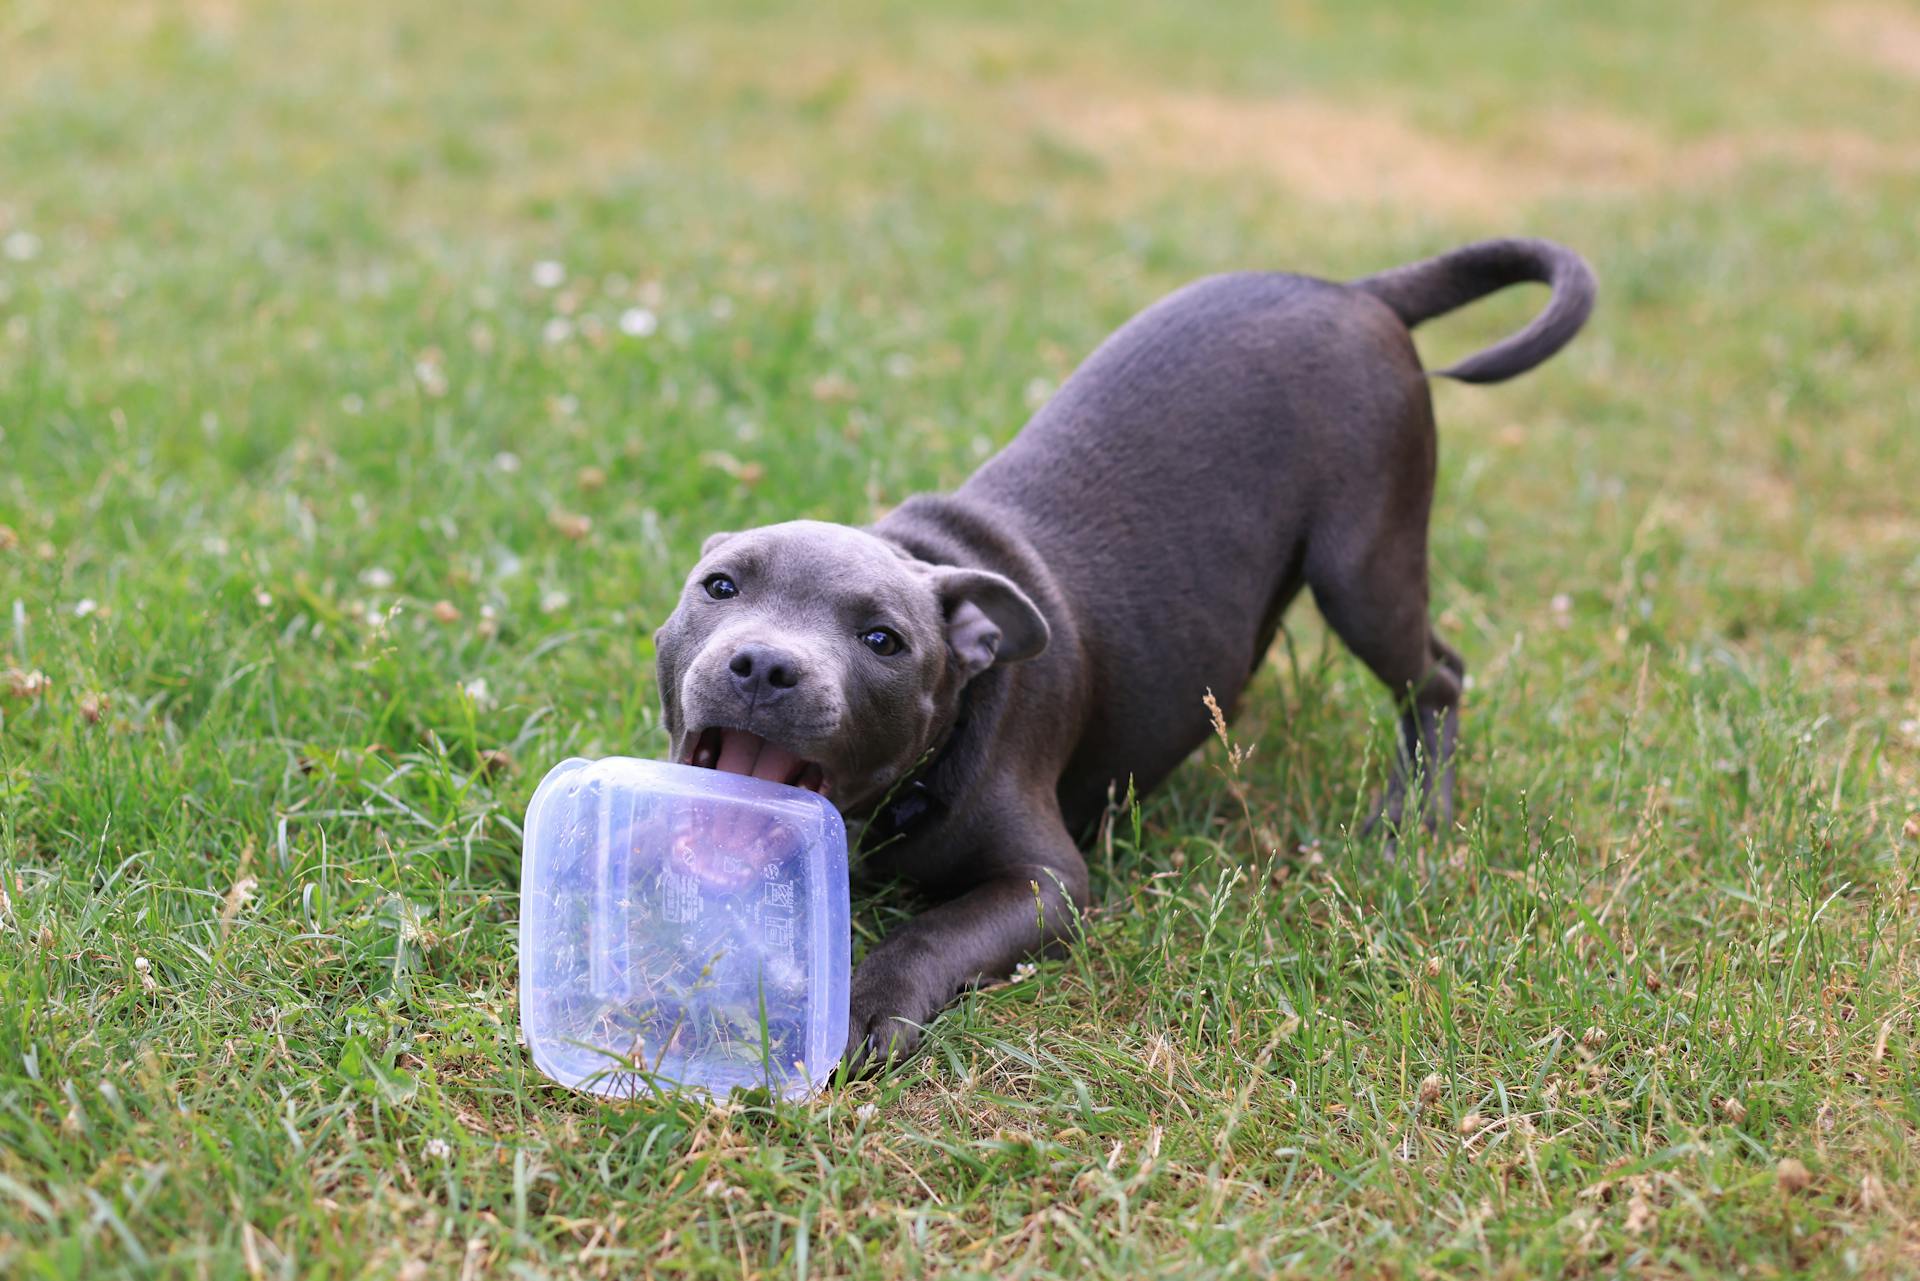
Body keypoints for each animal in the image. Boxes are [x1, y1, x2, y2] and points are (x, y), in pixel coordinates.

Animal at [652, 235, 1597, 1067]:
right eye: (719, 587)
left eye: (884, 640)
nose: (764, 665)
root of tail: (1355, 290)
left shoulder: (1048, 882)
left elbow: (936, 928)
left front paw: (865, 1002)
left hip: (1363, 566)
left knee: (1435, 676)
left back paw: (1414, 813)